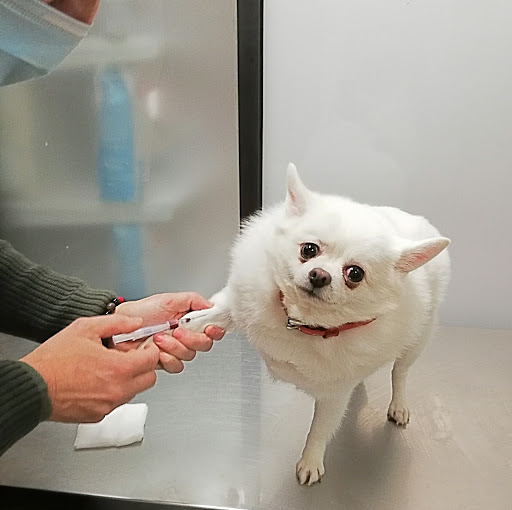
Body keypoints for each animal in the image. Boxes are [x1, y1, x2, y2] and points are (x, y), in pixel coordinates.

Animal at [182, 163, 450, 486]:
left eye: (355, 274)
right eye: (309, 250)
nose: (320, 275)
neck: (299, 321)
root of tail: (420, 221)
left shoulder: (334, 395)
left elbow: (320, 428)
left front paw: (310, 461)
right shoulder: (241, 303)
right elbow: (221, 311)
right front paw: (194, 322)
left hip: (417, 341)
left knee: (400, 373)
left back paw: (398, 404)